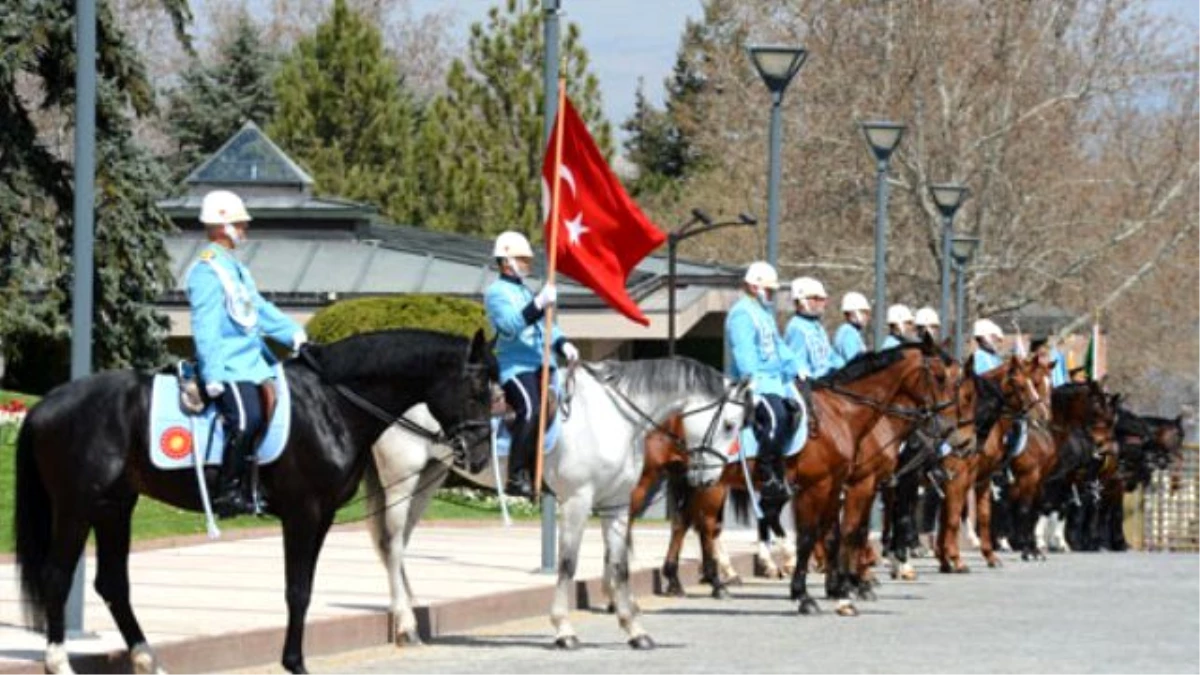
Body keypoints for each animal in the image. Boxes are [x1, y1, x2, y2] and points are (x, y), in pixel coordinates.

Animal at [15, 326, 492, 667]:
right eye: (476, 391)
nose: (481, 455)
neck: (330, 404)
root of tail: (44, 405)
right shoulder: (302, 513)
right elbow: (297, 590)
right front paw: (295, 663)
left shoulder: (321, 517)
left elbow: (305, 588)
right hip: (76, 507)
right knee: (57, 576)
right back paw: (59, 661)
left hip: (114, 506)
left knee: (112, 582)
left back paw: (146, 658)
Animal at [364, 357, 748, 648]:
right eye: (730, 424)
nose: (710, 479)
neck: (614, 418)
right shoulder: (578, 501)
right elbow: (567, 563)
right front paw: (564, 629)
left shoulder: (616, 505)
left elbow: (619, 566)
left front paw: (634, 629)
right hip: (402, 481)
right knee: (394, 545)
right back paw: (406, 626)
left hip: (428, 481)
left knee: (397, 546)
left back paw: (410, 611)